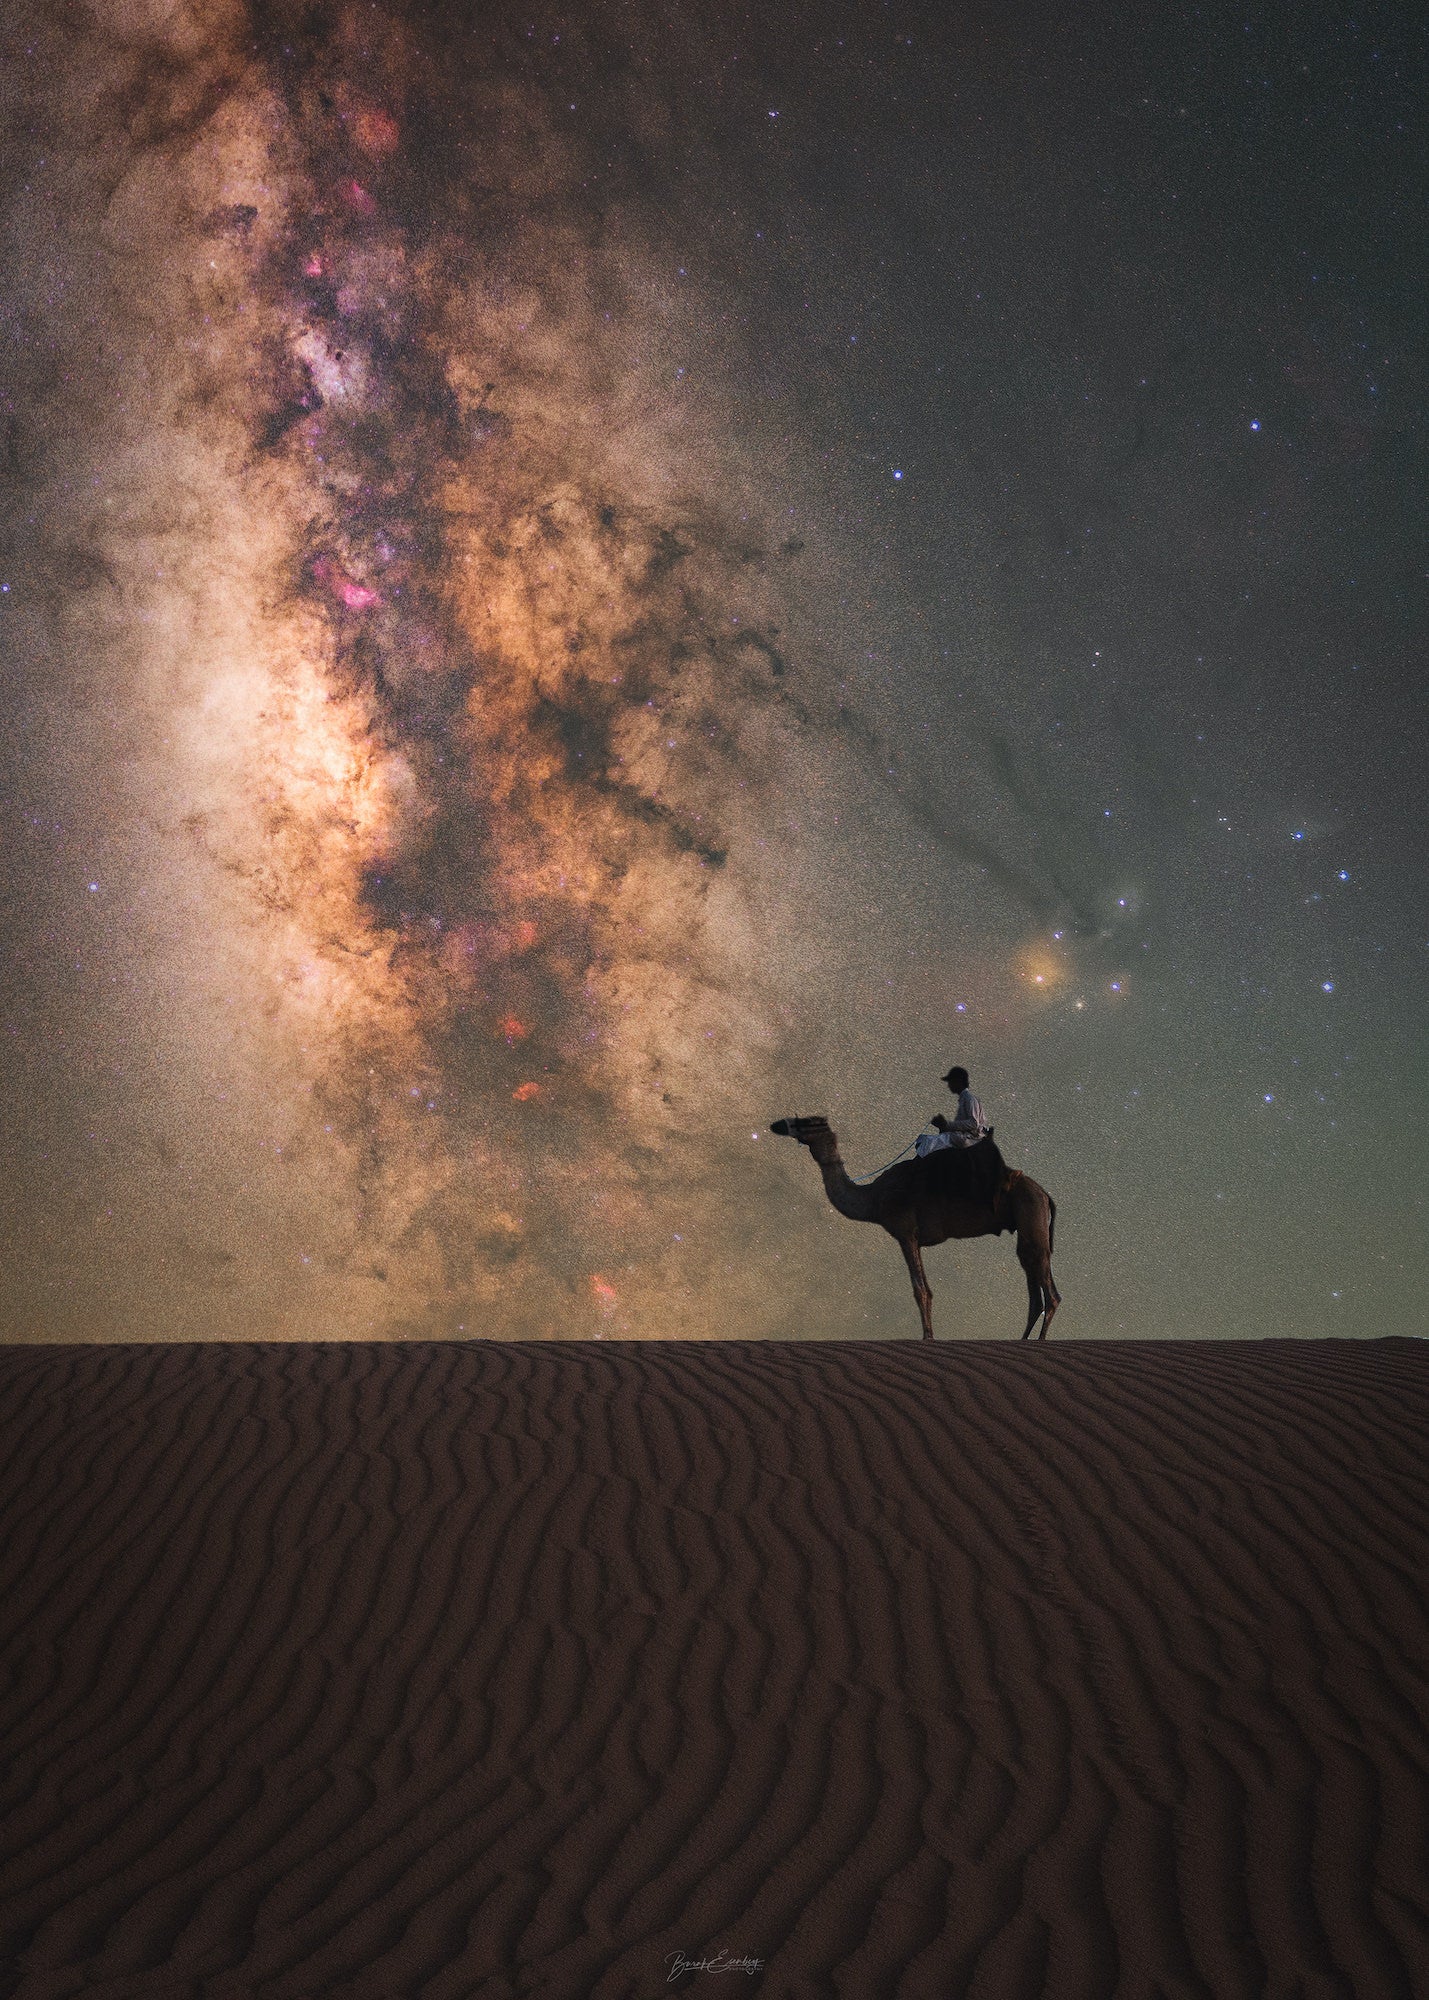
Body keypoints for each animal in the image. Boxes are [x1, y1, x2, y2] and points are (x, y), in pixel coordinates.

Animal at [768, 1120, 1056, 1336]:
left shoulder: (905, 1232)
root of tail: (1045, 1194)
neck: (874, 1198)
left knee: (1049, 1293)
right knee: (1035, 1291)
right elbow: (925, 1289)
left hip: (1030, 1217)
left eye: (805, 1122)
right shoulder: (913, 1238)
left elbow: (921, 1291)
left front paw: (928, 1339)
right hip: (1028, 1227)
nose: (778, 1125)